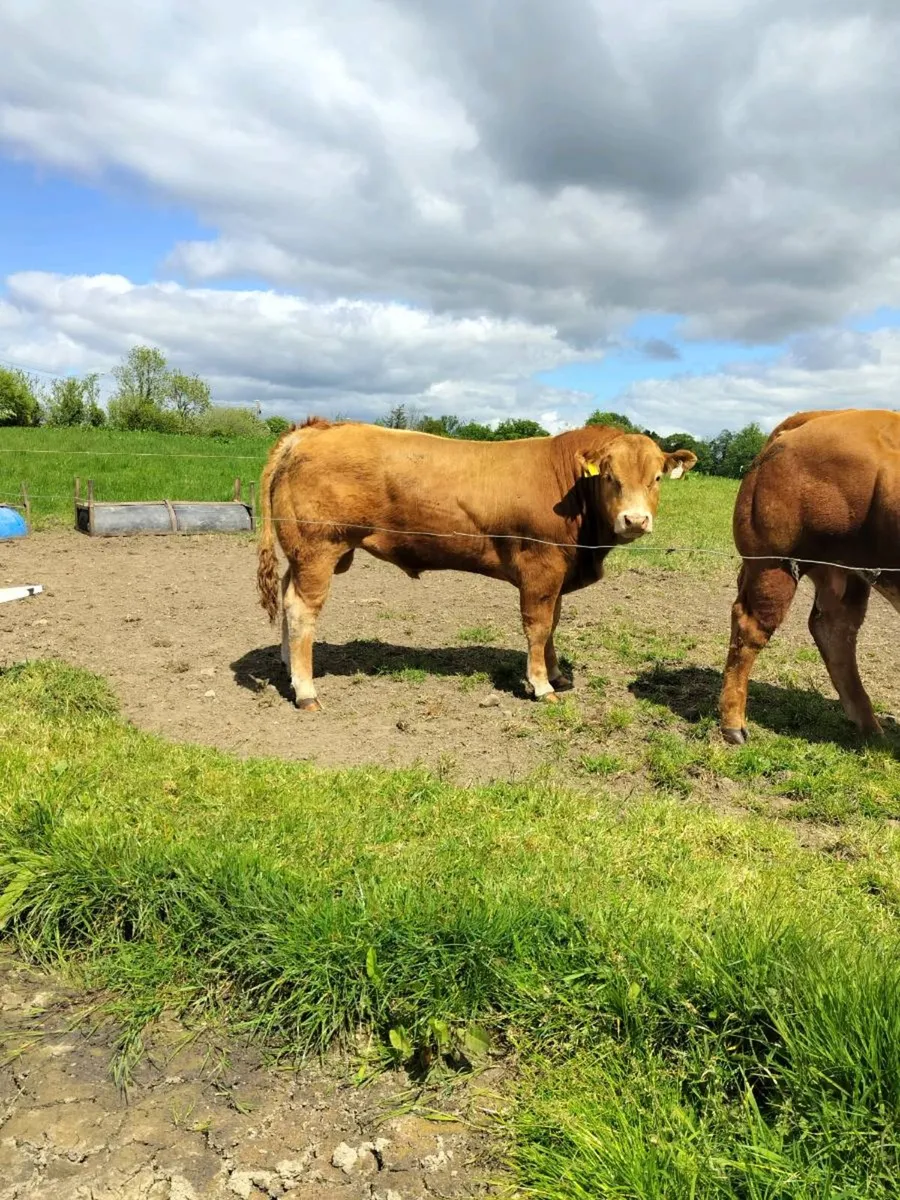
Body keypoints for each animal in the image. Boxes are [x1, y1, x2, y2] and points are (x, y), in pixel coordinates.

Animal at [257, 418, 697, 711]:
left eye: (657, 477)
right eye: (609, 477)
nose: (635, 520)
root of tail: (312, 429)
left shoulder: (558, 575)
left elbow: (553, 625)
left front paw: (557, 674)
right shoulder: (541, 568)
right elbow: (538, 627)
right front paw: (541, 685)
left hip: (303, 553)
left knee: (286, 595)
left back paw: (286, 665)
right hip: (318, 549)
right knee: (301, 610)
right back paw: (306, 691)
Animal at [719, 408, 900, 743]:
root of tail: (818, 416)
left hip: (844, 572)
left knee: (834, 631)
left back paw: (870, 728)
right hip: (774, 565)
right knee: (751, 629)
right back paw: (733, 724)